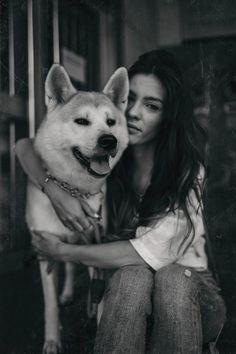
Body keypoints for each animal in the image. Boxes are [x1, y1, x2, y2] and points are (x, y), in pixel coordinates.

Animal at [26, 64, 129, 354]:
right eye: (82, 121)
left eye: (111, 122)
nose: (109, 141)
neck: (74, 190)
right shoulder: (46, 250)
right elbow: (50, 306)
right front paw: (52, 340)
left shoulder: (97, 244)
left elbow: (100, 290)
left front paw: (100, 324)